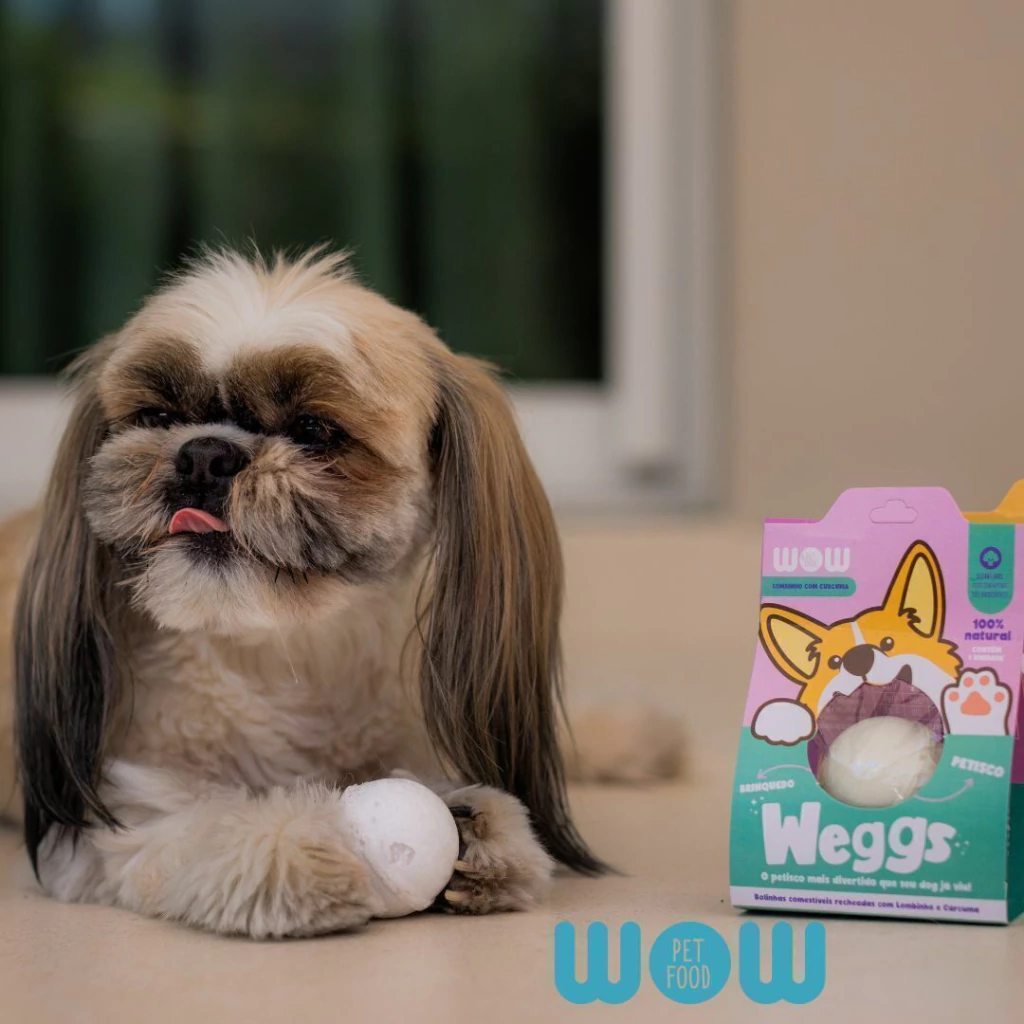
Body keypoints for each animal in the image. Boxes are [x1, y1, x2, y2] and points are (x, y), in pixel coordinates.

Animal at [0, 247, 667, 938]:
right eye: (157, 417)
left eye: (314, 430)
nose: (204, 454)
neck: (286, 657)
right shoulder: (118, 809)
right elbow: (204, 825)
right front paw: (301, 846)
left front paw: (483, 831)